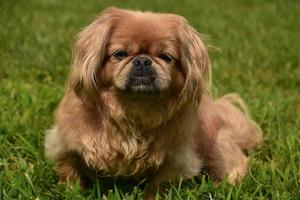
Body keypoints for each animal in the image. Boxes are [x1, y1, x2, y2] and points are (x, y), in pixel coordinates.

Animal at [44, 7, 262, 199]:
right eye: (120, 54)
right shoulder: (64, 143)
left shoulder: (176, 160)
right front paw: (71, 191)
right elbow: (68, 170)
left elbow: (158, 183)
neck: (134, 109)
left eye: (165, 57)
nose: (142, 61)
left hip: (217, 147)